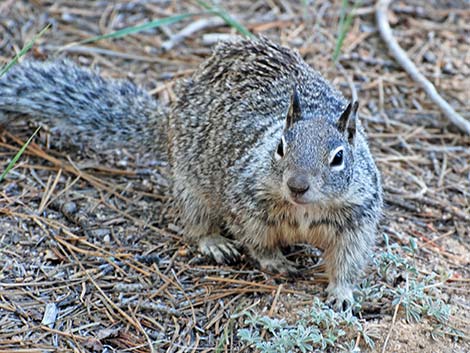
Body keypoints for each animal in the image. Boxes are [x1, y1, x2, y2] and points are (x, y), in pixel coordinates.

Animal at [0, 37, 382, 308]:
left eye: (338, 158)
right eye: (280, 147)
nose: (297, 185)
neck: (304, 210)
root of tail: (169, 121)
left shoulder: (357, 219)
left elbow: (348, 259)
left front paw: (342, 294)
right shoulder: (245, 202)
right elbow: (257, 240)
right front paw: (275, 262)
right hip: (190, 186)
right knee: (196, 221)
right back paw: (214, 242)